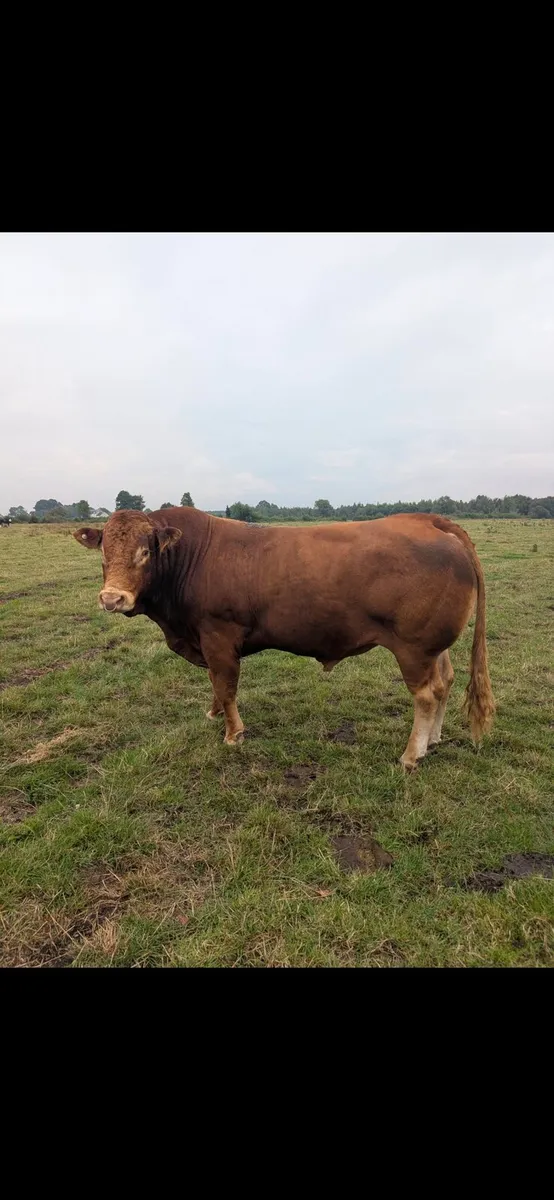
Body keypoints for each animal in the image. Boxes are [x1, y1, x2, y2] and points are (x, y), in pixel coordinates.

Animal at [73, 507, 495, 769]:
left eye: (145, 552)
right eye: (103, 552)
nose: (112, 598)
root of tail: (430, 521)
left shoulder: (218, 635)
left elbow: (225, 684)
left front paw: (233, 733)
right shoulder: (206, 640)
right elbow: (214, 682)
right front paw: (213, 713)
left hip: (413, 648)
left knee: (426, 695)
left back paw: (411, 755)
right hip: (434, 647)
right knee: (446, 682)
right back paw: (433, 740)